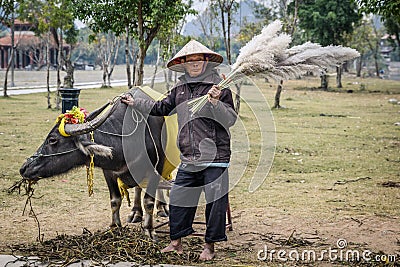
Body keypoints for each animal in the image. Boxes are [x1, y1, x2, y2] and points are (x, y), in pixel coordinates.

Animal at [19, 88, 170, 241]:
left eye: (52, 140)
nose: (24, 168)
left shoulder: (156, 168)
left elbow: (149, 202)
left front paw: (149, 230)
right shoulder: (108, 172)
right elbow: (115, 200)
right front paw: (114, 227)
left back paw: (162, 208)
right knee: (138, 189)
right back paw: (136, 213)